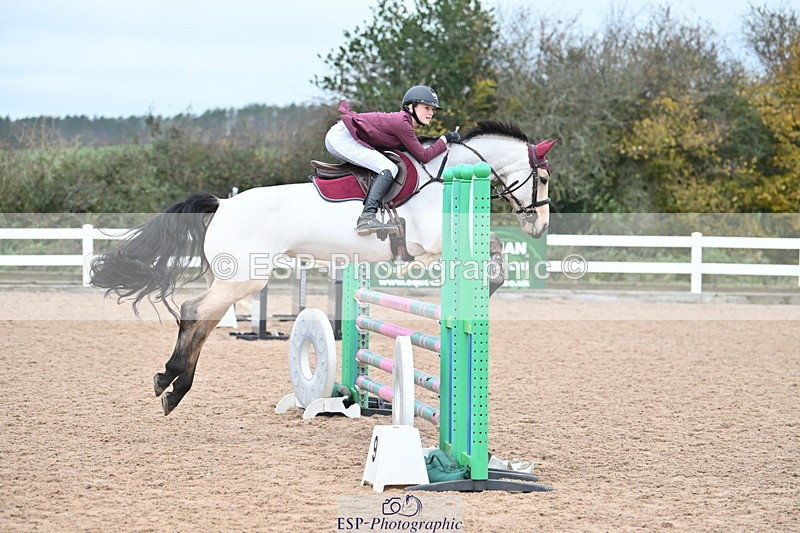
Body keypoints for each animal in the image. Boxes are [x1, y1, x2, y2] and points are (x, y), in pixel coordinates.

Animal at [90, 120, 556, 416]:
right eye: (545, 179)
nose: (539, 226)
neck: (446, 175)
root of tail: (222, 204)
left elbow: (494, 247)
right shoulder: (432, 243)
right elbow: (491, 247)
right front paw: (487, 290)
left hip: (230, 278)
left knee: (201, 320)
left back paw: (171, 389)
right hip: (244, 278)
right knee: (193, 313)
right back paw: (171, 383)